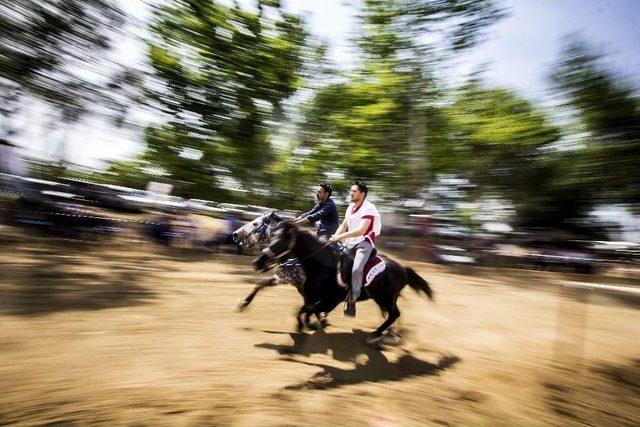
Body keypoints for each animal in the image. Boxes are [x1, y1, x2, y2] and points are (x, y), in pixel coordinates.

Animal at [252, 221, 432, 344]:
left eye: (281, 241)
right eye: (271, 237)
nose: (257, 262)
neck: (323, 266)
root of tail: (403, 269)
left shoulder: (331, 300)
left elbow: (306, 310)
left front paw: (307, 326)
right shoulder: (312, 296)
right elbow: (307, 310)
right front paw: (311, 325)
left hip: (385, 298)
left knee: (394, 314)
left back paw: (376, 336)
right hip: (383, 299)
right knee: (391, 315)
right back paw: (389, 334)